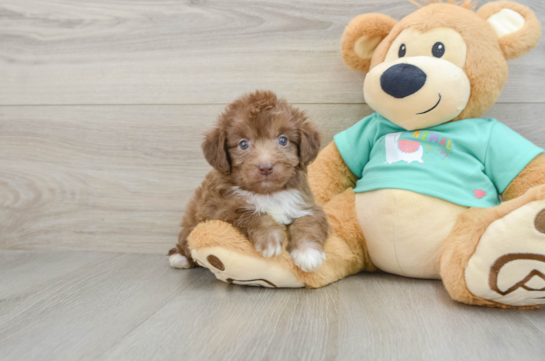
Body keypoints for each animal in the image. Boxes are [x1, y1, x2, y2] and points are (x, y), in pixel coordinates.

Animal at [170, 89, 330, 270]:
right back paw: (180, 257)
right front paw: (270, 237)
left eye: (283, 140)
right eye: (243, 144)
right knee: (185, 239)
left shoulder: (306, 204)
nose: (266, 167)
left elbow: (308, 220)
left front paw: (308, 252)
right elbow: (248, 212)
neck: (268, 193)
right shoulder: (217, 209)